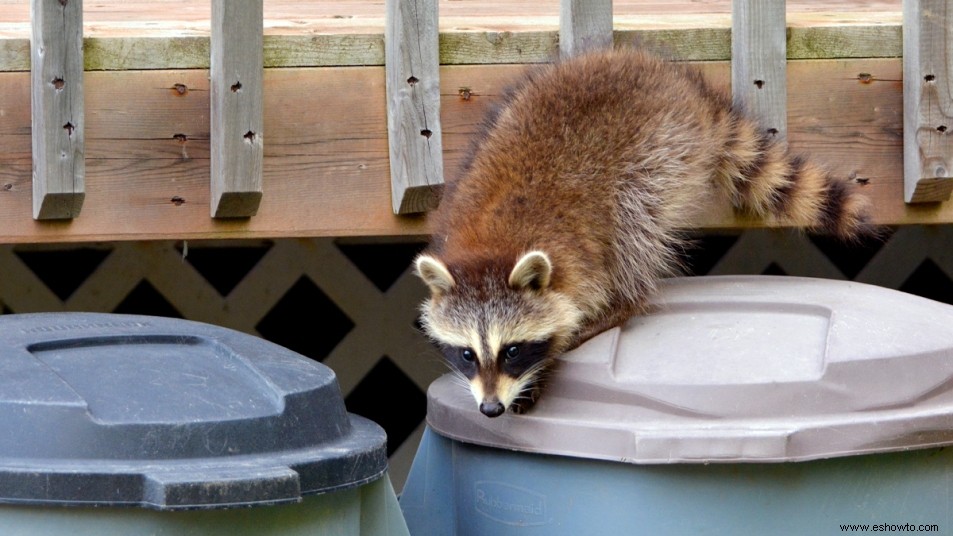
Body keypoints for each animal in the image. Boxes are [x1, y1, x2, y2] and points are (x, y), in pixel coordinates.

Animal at [414, 48, 872, 418]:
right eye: (467, 354)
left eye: (512, 350)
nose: (490, 408)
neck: (493, 246)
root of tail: (682, 88)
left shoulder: (580, 260)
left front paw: (554, 353)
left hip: (658, 157)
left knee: (634, 226)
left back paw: (626, 299)